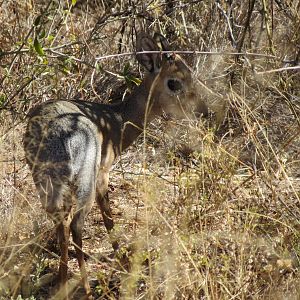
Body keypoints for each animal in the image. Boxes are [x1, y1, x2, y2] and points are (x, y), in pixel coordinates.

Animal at [23, 32, 207, 298]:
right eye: (174, 82)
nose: (203, 110)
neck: (119, 121)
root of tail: (56, 136)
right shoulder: (103, 175)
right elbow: (109, 218)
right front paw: (124, 262)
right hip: (84, 182)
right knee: (76, 224)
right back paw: (86, 288)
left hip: (47, 185)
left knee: (61, 224)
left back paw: (61, 281)